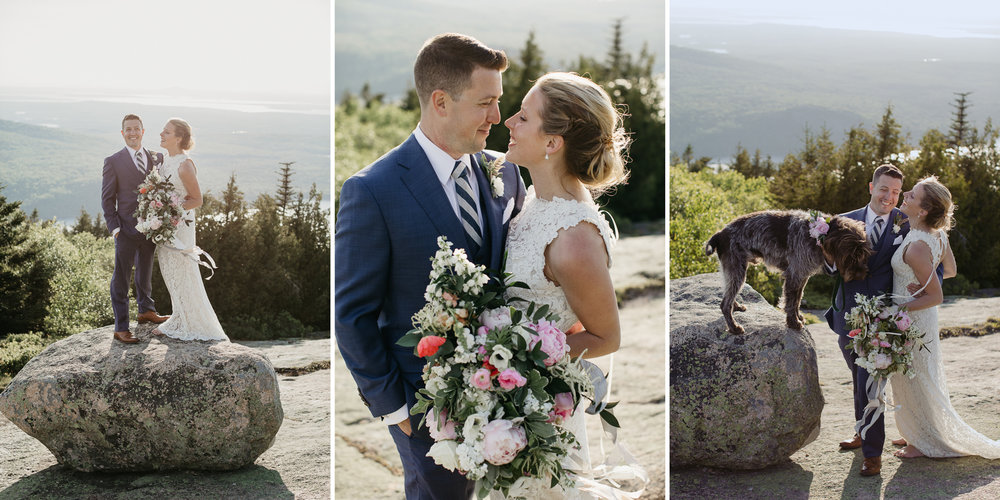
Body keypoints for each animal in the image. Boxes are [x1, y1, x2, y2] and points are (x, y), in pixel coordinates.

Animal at [704, 209, 876, 334]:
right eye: (851, 256)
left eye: (863, 254)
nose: (863, 274)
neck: (816, 237)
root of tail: (720, 233)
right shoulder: (795, 275)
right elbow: (791, 301)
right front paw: (793, 322)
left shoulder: (802, 276)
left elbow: (798, 299)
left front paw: (798, 317)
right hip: (737, 270)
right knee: (724, 304)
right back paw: (734, 327)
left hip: (734, 271)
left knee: (728, 294)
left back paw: (736, 306)